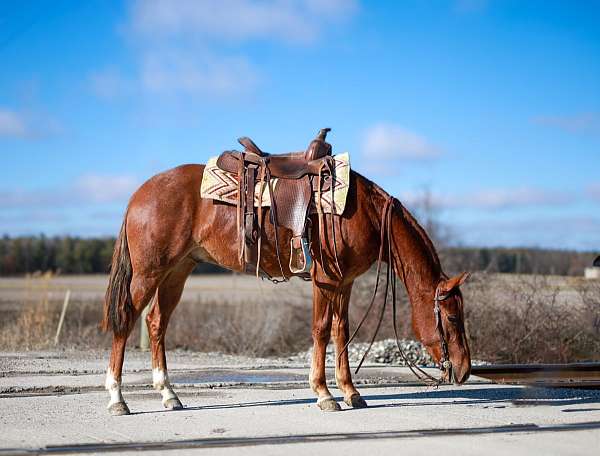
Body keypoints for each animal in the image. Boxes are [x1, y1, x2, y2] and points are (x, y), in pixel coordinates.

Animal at [101, 163, 472, 414]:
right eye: (453, 318)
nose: (465, 370)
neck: (361, 210)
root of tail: (139, 194)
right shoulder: (325, 281)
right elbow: (321, 331)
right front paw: (324, 394)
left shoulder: (344, 283)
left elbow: (341, 330)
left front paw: (351, 392)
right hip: (148, 274)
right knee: (127, 320)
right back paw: (118, 399)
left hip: (177, 271)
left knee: (156, 323)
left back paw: (169, 394)